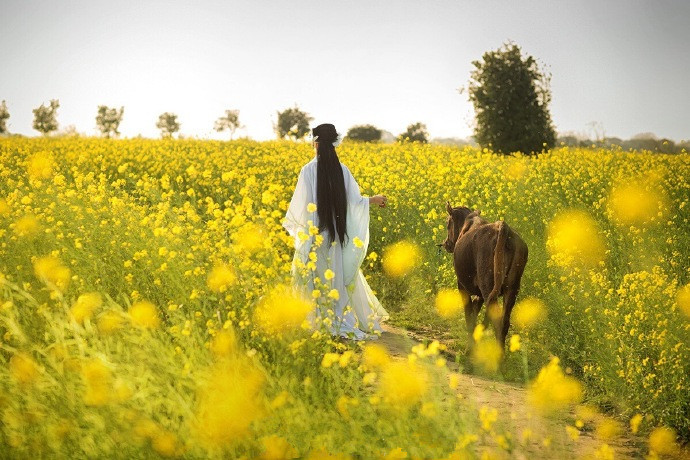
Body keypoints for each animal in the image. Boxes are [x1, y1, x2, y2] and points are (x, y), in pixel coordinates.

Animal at [440, 202, 528, 352]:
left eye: (447, 223)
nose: (446, 243)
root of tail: (502, 227)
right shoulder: (480, 294)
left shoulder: (462, 285)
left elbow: (469, 315)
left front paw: (469, 349)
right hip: (511, 288)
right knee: (504, 321)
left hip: (488, 285)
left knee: (496, 320)